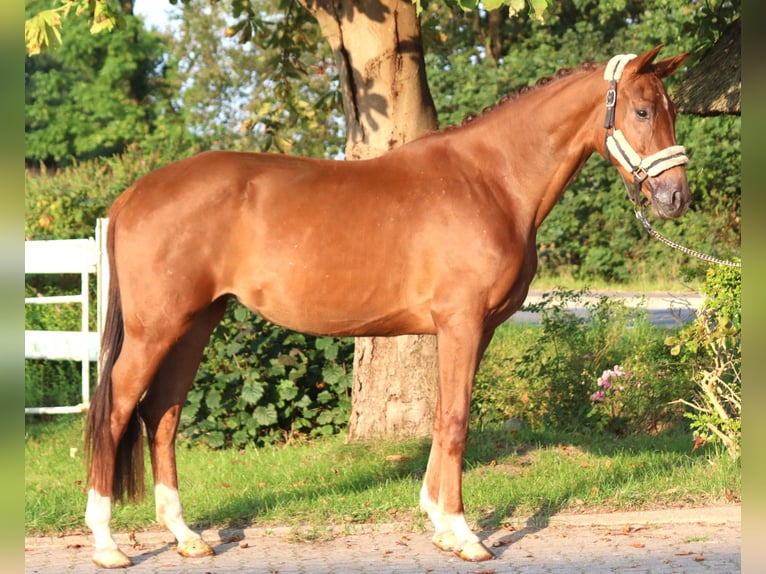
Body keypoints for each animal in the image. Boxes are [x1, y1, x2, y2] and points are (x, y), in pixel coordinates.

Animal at [87, 46, 692, 572]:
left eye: (673, 110)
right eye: (641, 110)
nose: (676, 198)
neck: (490, 180)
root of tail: (133, 195)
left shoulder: (475, 331)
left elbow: (444, 414)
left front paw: (440, 525)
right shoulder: (461, 323)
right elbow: (456, 419)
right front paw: (466, 535)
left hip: (195, 325)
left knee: (162, 414)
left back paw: (185, 536)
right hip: (155, 329)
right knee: (116, 409)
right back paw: (107, 543)